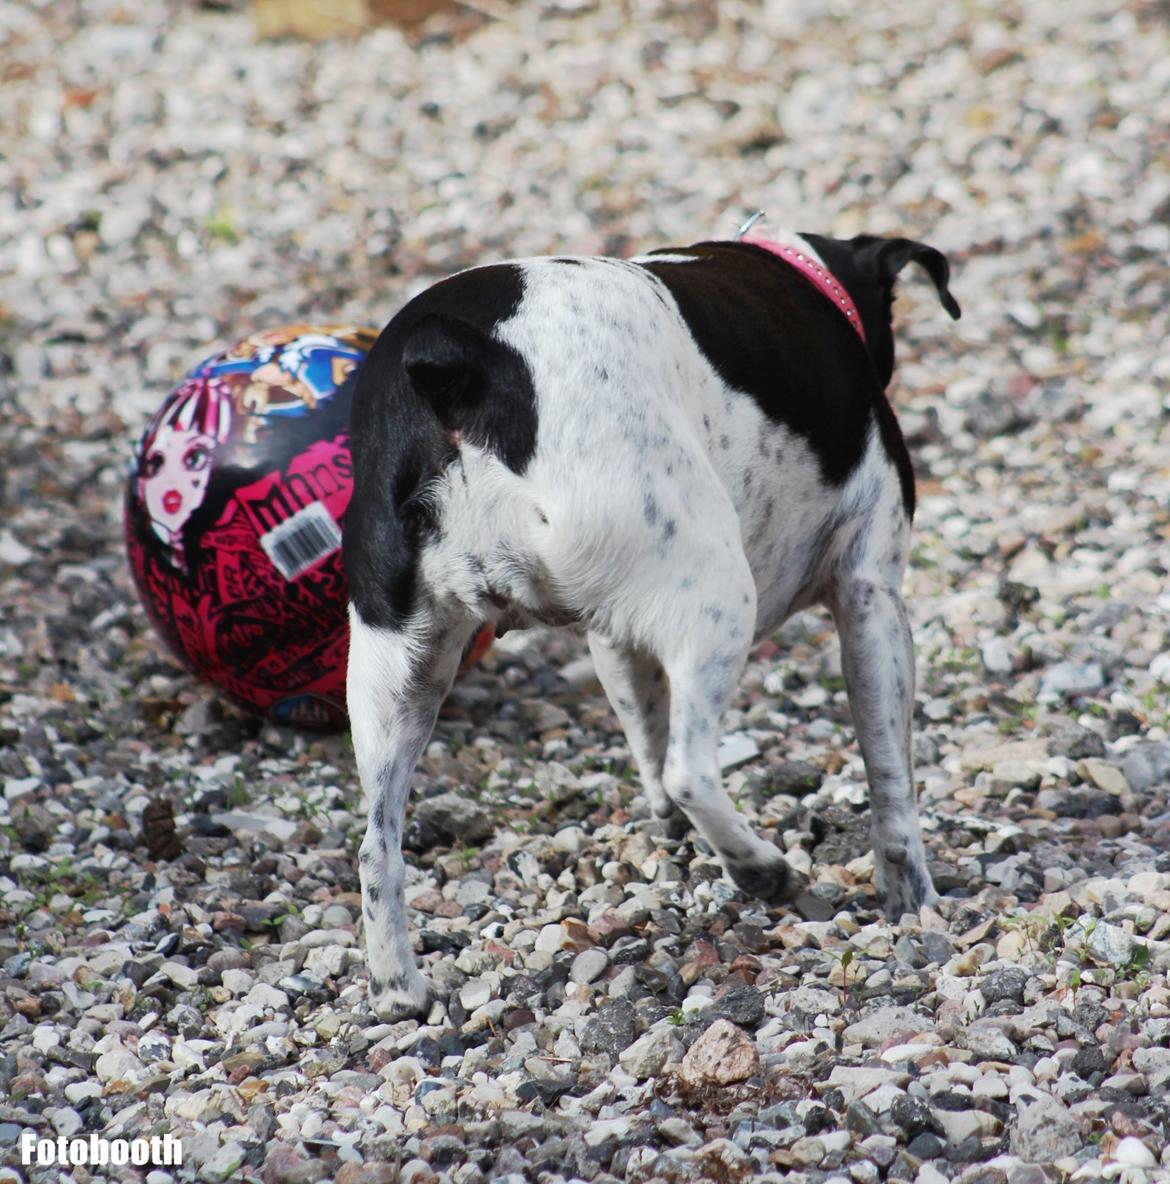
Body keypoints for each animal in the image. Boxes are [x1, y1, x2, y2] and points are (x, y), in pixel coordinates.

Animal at [345, 228, 961, 1018]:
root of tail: (462, 361)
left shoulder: (613, 637)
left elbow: (645, 732)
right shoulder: (871, 596)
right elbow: (892, 783)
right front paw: (913, 902)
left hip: (398, 670)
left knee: (376, 847)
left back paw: (400, 989)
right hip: (721, 597)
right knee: (692, 769)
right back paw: (761, 868)